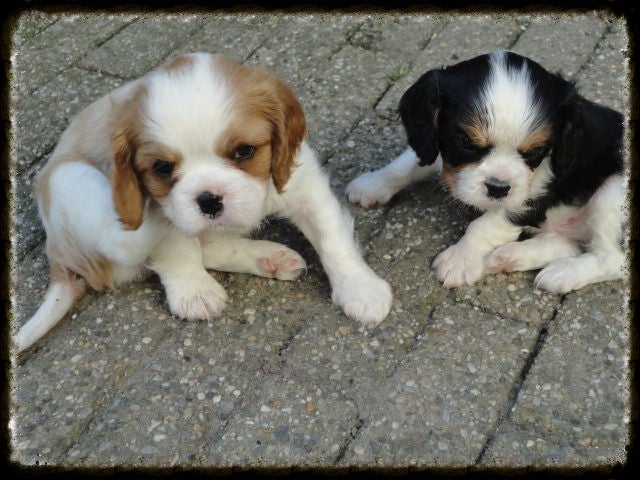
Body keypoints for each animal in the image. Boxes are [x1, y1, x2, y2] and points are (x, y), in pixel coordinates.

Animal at [15, 52, 392, 353]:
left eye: (244, 151)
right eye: (162, 168)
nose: (208, 200)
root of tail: (60, 256)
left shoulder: (301, 181)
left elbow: (330, 235)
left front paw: (360, 289)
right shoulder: (167, 207)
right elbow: (175, 246)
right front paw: (193, 291)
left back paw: (269, 257)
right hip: (68, 178)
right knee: (129, 242)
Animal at [347, 51, 625, 293]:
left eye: (537, 150)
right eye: (466, 142)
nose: (498, 188)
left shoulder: (531, 196)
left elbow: (487, 224)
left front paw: (458, 260)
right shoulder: (440, 147)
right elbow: (410, 162)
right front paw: (374, 183)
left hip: (612, 193)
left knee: (612, 259)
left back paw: (563, 273)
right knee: (569, 245)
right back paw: (509, 257)